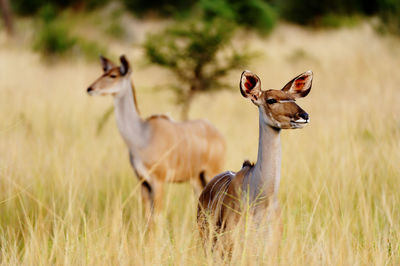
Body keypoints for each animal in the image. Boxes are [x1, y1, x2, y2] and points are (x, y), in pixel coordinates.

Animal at [87, 54, 225, 218]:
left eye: (113, 75)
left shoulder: (158, 181)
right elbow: (148, 216)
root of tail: (218, 134)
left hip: (212, 173)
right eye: (103, 72)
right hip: (197, 179)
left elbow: (157, 217)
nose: (90, 88)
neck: (142, 136)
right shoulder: (143, 182)